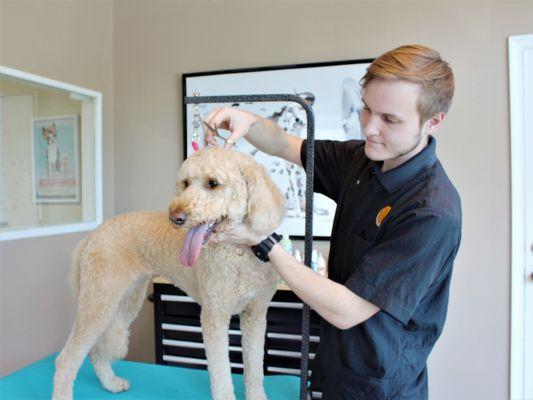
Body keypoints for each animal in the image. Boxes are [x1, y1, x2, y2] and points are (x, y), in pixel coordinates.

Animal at [53, 147, 284, 400]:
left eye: (213, 183)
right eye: (186, 183)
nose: (175, 217)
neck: (236, 254)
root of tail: (92, 235)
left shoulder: (255, 314)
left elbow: (254, 367)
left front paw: (257, 396)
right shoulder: (214, 316)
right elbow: (221, 374)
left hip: (126, 301)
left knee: (95, 350)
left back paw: (111, 383)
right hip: (99, 299)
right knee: (66, 360)